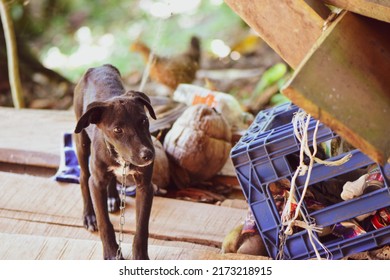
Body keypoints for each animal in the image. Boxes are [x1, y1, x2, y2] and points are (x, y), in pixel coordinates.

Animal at [73, 64, 155, 260]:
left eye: (144, 120)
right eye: (118, 129)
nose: (148, 155)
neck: (121, 159)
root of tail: (97, 67)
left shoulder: (145, 186)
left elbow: (142, 227)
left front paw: (140, 256)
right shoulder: (96, 183)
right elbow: (104, 222)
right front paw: (111, 253)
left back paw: (112, 197)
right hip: (81, 142)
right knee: (83, 177)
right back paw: (89, 215)